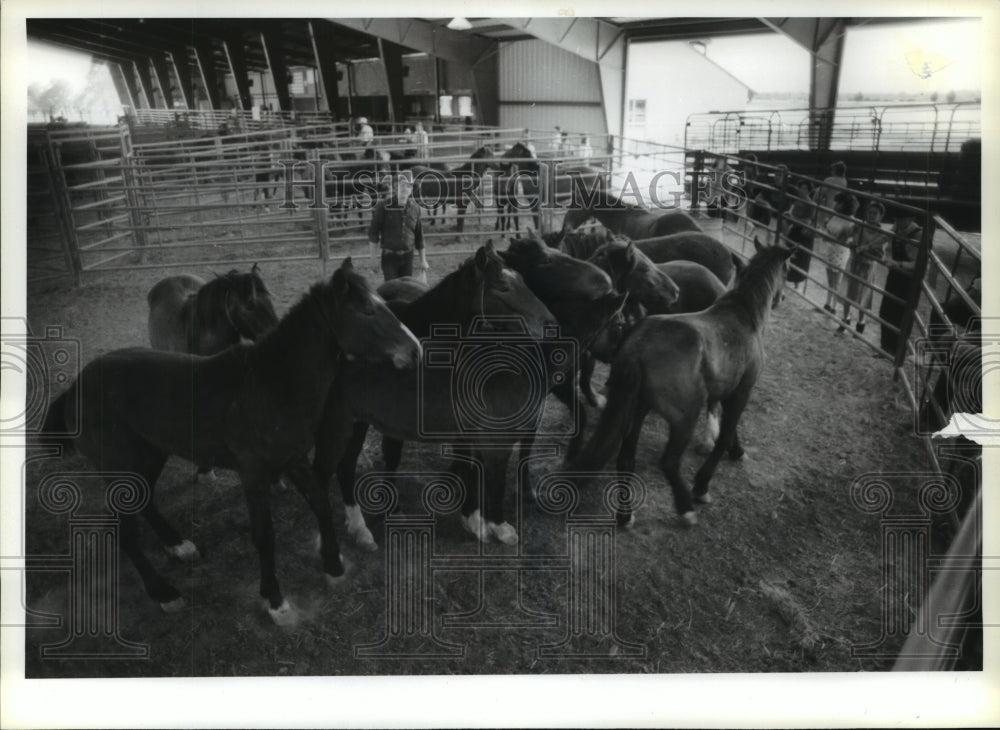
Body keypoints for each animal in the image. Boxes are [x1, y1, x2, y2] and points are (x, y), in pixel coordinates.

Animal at [312, 244, 562, 548]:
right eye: (502, 286)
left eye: (523, 281)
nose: (550, 324)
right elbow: (394, 456)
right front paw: (394, 510)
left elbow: (469, 463)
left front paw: (473, 519)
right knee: (344, 465)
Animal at [565, 240, 793, 527]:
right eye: (787, 271)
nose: (781, 299)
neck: (742, 314)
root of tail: (637, 349)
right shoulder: (742, 390)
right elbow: (725, 434)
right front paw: (705, 482)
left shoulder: (724, 389)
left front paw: (735, 450)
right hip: (684, 417)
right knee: (669, 462)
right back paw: (686, 507)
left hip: (637, 409)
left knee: (626, 459)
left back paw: (626, 516)